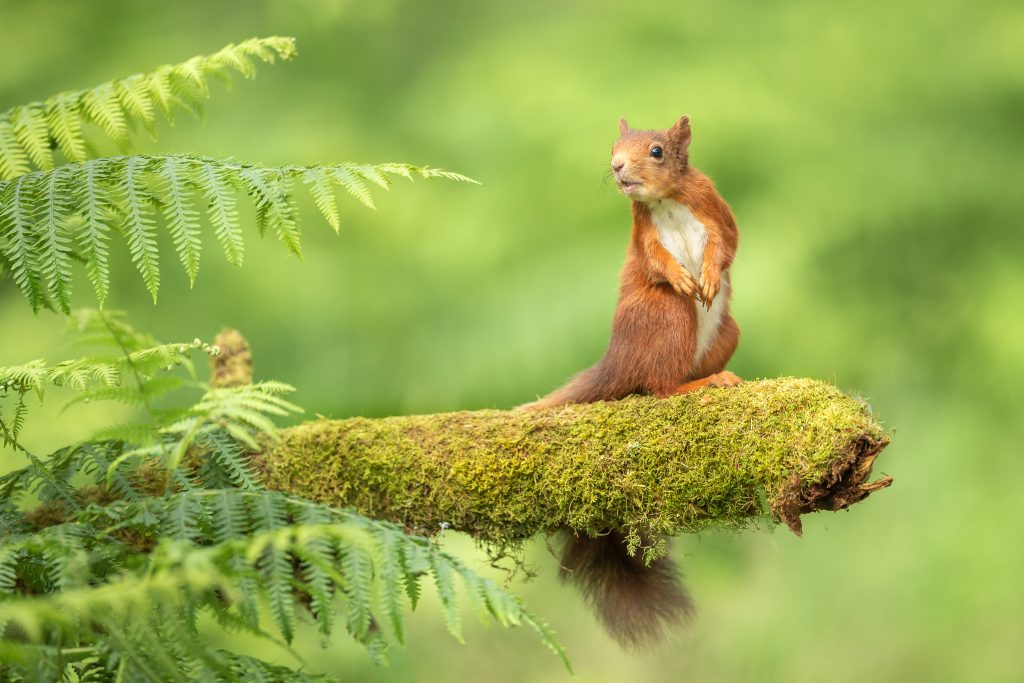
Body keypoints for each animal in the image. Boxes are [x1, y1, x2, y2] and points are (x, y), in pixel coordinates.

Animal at [524, 114, 741, 651]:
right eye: (612, 148)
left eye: (658, 151)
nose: (619, 168)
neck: (664, 201)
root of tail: (617, 359)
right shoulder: (643, 233)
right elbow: (653, 261)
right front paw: (682, 276)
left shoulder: (713, 205)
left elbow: (727, 245)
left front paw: (709, 273)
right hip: (669, 315)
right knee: (658, 387)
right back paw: (698, 385)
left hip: (725, 332)